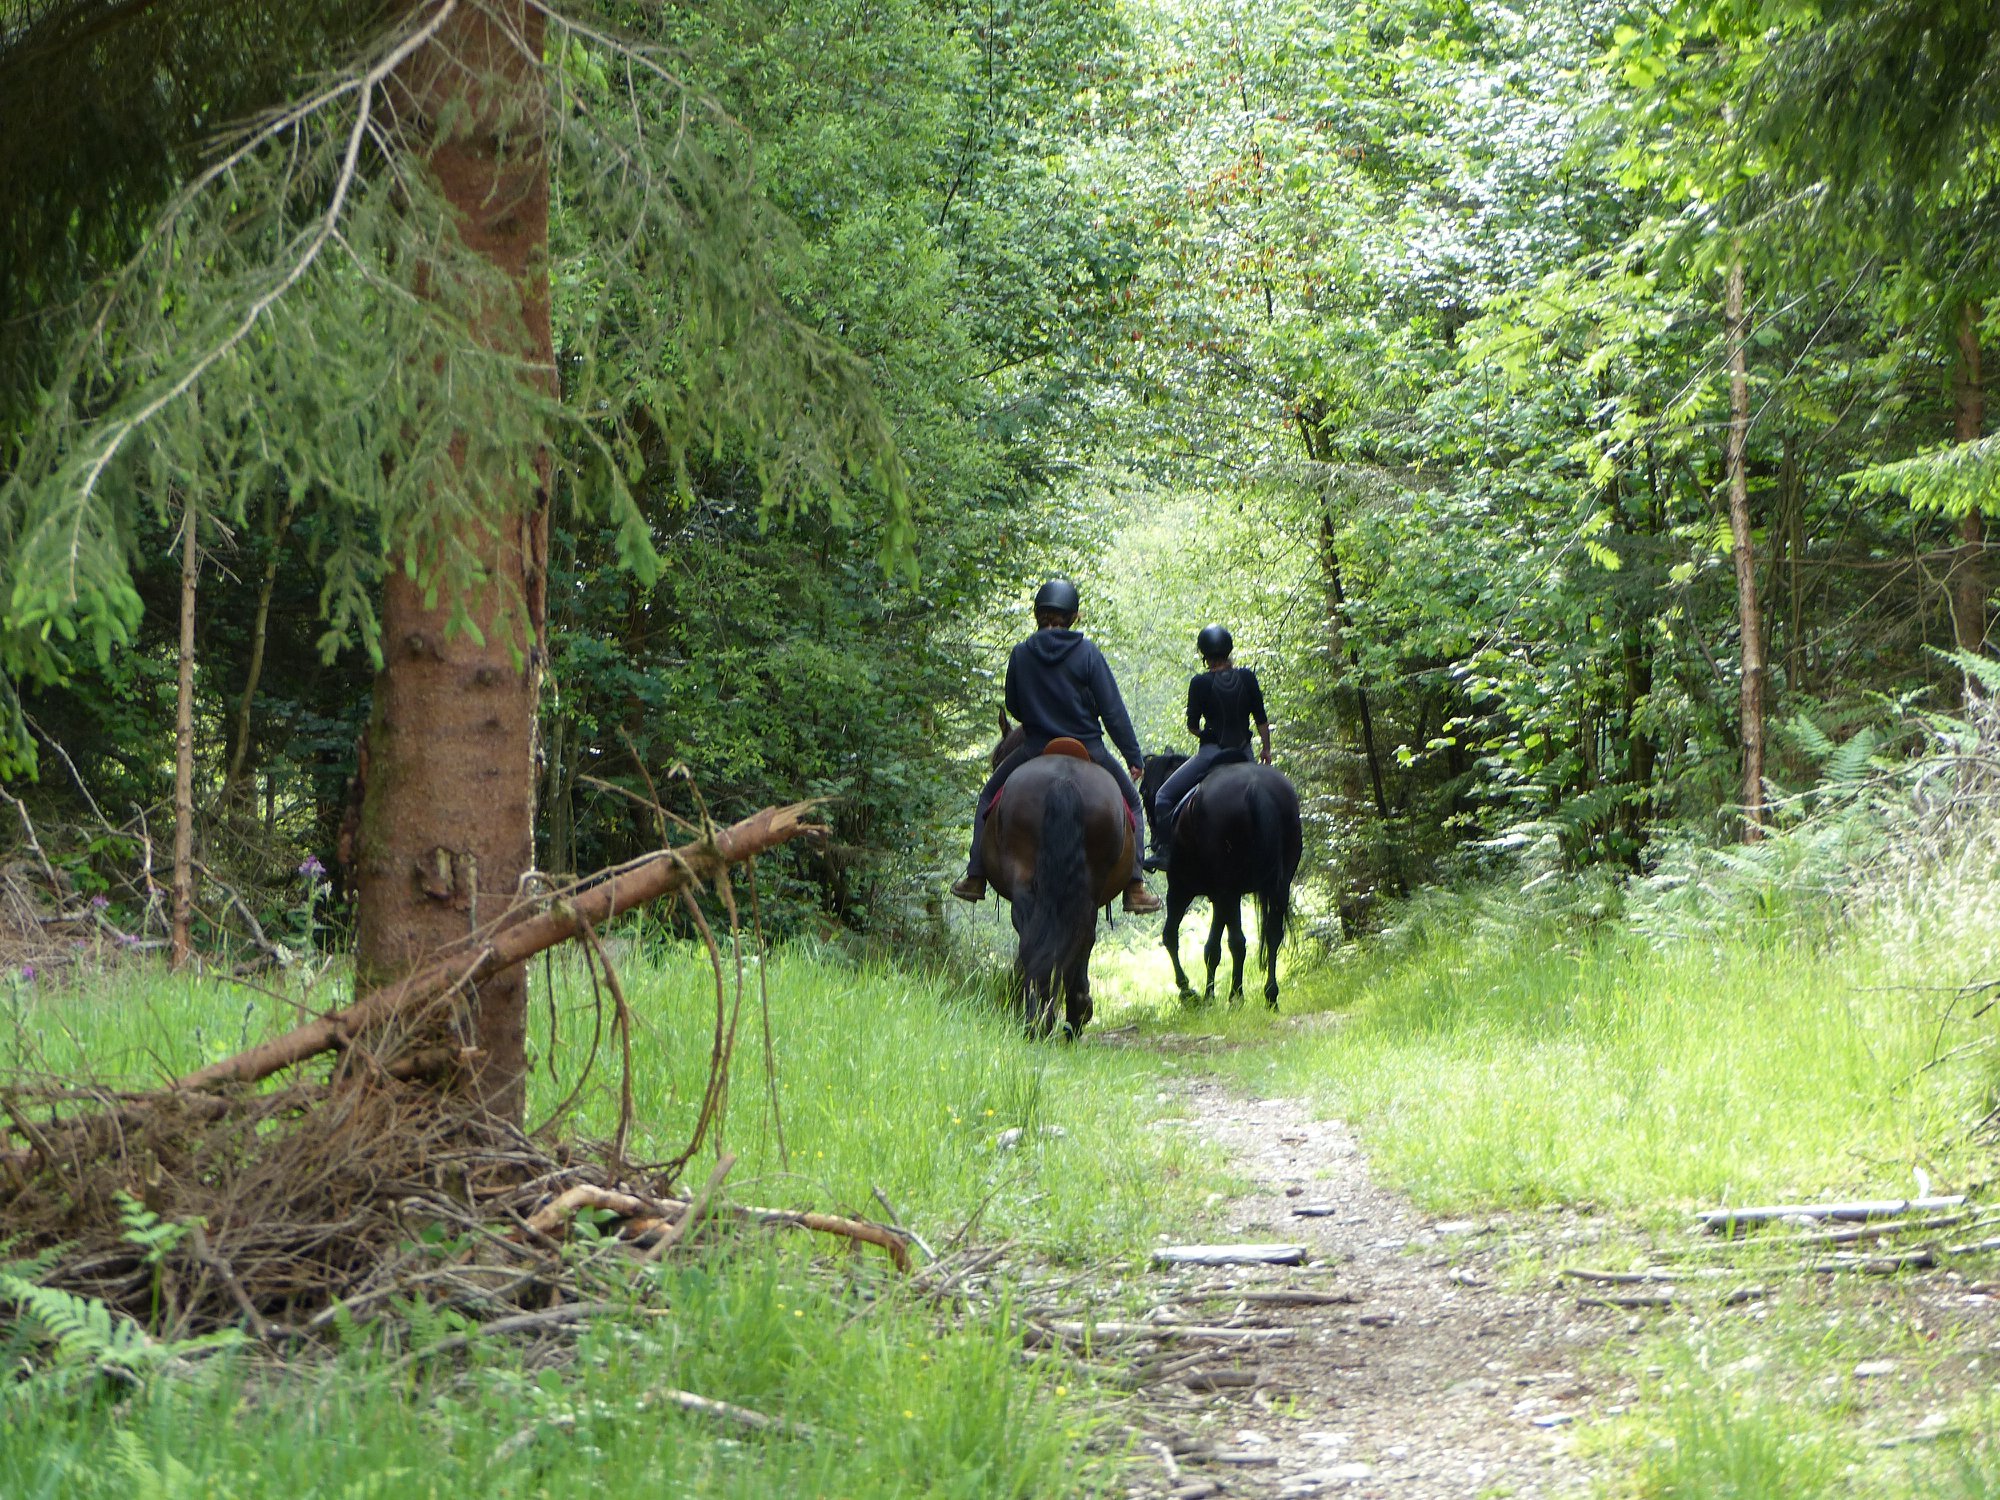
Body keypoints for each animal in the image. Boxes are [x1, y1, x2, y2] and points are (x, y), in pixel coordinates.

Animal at [976, 720, 1136, 1048]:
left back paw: (1041, 1016)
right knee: (1075, 936)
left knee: (1039, 935)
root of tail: (1064, 781)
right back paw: (1058, 1014)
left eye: (996, 758)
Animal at [1144, 752, 1296, 1012]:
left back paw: (1236, 996)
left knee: (1237, 942)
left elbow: (1171, 937)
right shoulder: (1219, 896)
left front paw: (1189, 993)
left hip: (1226, 890)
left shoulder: (1182, 890)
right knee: (1273, 934)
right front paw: (1207, 994)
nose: (1154, 842)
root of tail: (1256, 789)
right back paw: (1270, 996)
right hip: (1276, 887)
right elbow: (1212, 947)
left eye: (1143, 791)